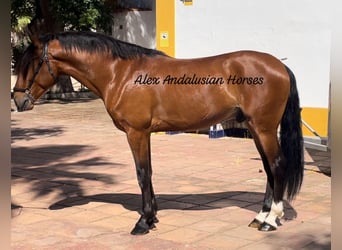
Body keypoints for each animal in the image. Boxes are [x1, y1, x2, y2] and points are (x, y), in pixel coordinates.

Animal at [12, 26, 304, 234]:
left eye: (31, 63)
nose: (18, 101)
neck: (121, 73)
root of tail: (279, 65)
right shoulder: (145, 134)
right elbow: (149, 173)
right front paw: (152, 217)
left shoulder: (136, 132)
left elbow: (142, 174)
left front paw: (143, 222)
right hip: (256, 129)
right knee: (268, 168)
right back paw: (260, 216)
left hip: (264, 128)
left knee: (277, 165)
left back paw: (271, 219)